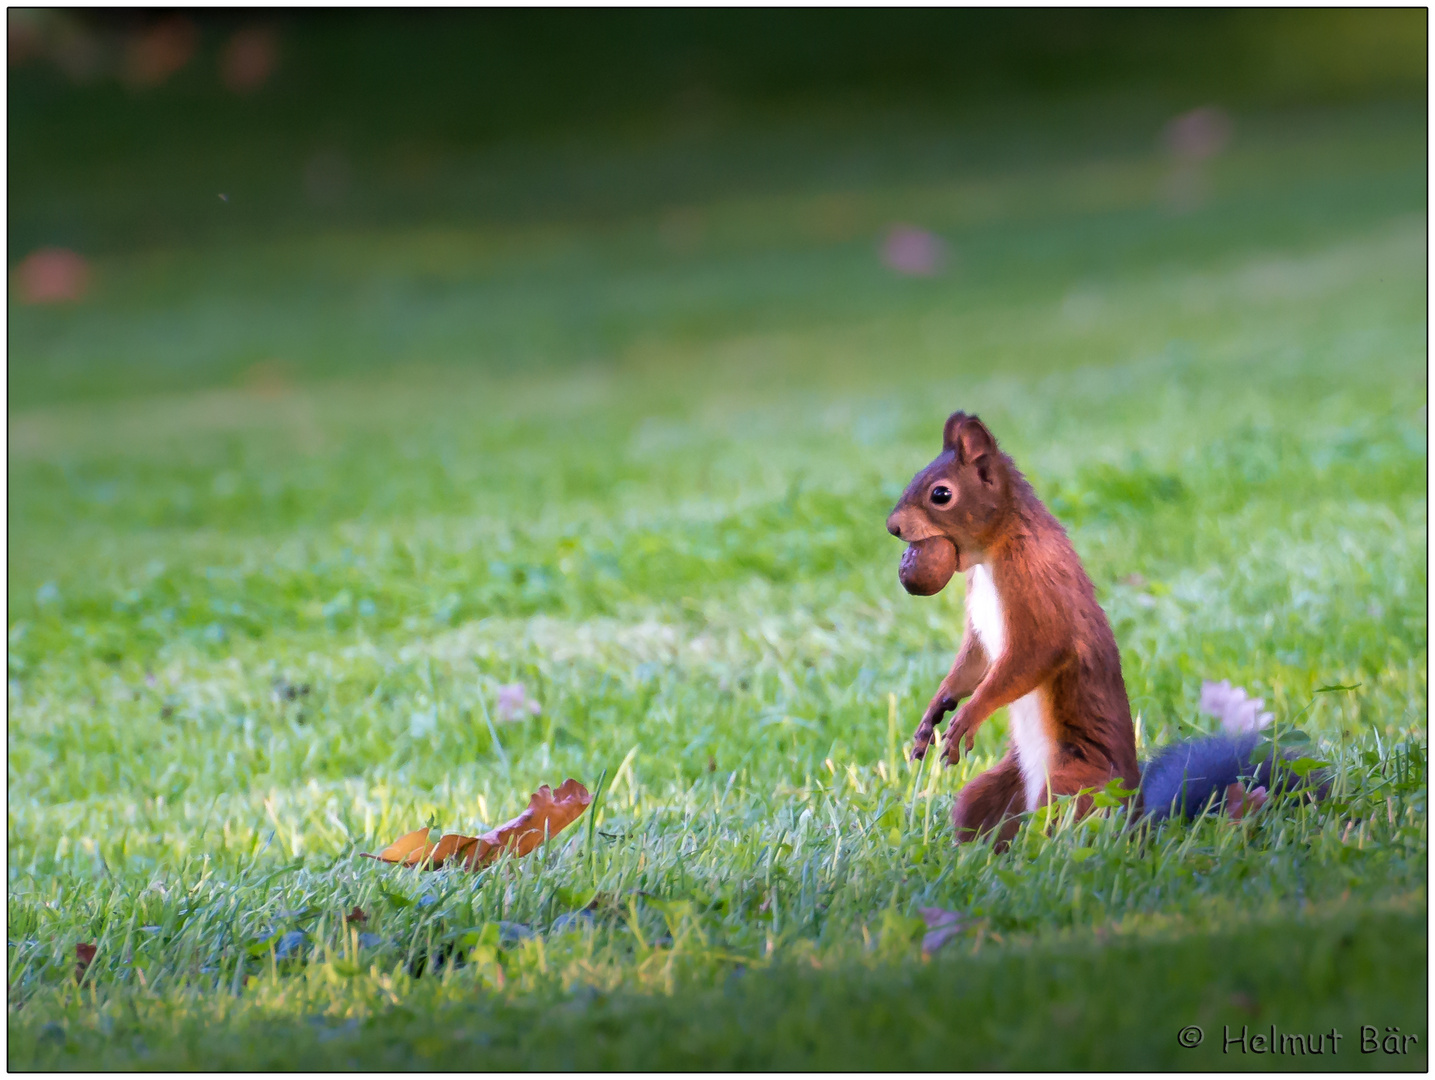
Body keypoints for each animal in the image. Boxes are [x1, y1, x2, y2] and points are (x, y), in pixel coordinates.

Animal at [883, 410, 1280, 843]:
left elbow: (1032, 657)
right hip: (995, 791)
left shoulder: (1036, 590)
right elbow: (972, 663)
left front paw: (969, 716)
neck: (992, 553)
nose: (892, 527)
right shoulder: (980, 629)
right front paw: (936, 711)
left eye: (941, 494)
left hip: (1076, 782)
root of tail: (1139, 819)